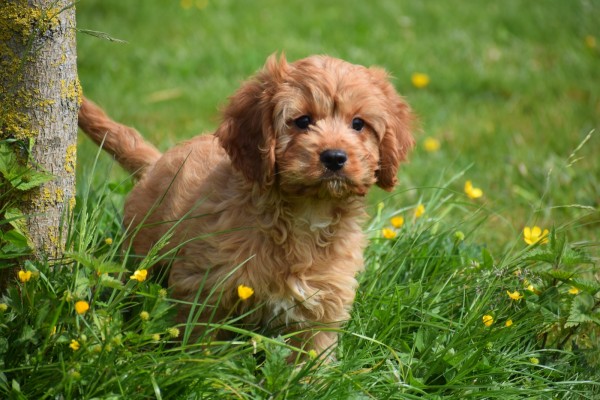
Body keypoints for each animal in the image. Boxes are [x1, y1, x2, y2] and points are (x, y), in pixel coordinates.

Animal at [78, 54, 414, 359]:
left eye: (358, 124)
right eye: (303, 121)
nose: (334, 157)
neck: (306, 214)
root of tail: (156, 162)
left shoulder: (325, 303)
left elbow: (311, 356)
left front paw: (311, 380)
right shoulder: (205, 288)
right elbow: (201, 343)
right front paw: (201, 368)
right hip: (139, 257)